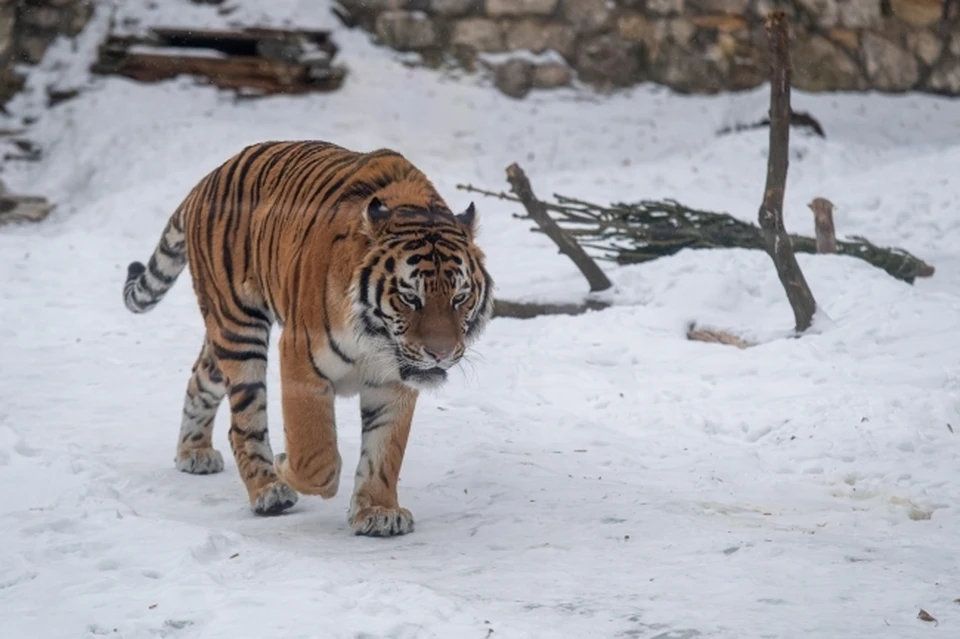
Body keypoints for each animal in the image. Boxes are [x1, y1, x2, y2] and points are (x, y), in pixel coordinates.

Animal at [122, 140, 496, 536]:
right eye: (410, 297)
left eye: (460, 297)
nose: (441, 353)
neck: (375, 339)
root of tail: (206, 179)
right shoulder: (301, 357)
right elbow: (315, 453)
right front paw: (289, 465)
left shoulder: (392, 381)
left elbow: (384, 450)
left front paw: (378, 511)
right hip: (239, 330)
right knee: (244, 423)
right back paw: (269, 490)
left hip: (223, 336)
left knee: (200, 377)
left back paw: (193, 452)